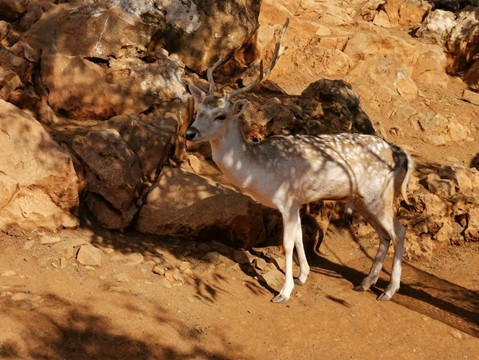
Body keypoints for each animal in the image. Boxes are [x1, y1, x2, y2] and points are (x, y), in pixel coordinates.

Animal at [186, 18, 414, 302]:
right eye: (199, 109)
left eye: (221, 115)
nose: (190, 133)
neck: (259, 169)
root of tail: (401, 155)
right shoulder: (296, 203)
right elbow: (297, 239)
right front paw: (303, 276)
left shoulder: (288, 199)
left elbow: (286, 244)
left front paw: (283, 292)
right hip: (361, 200)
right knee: (385, 234)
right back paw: (365, 283)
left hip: (378, 196)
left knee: (399, 232)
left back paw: (388, 291)